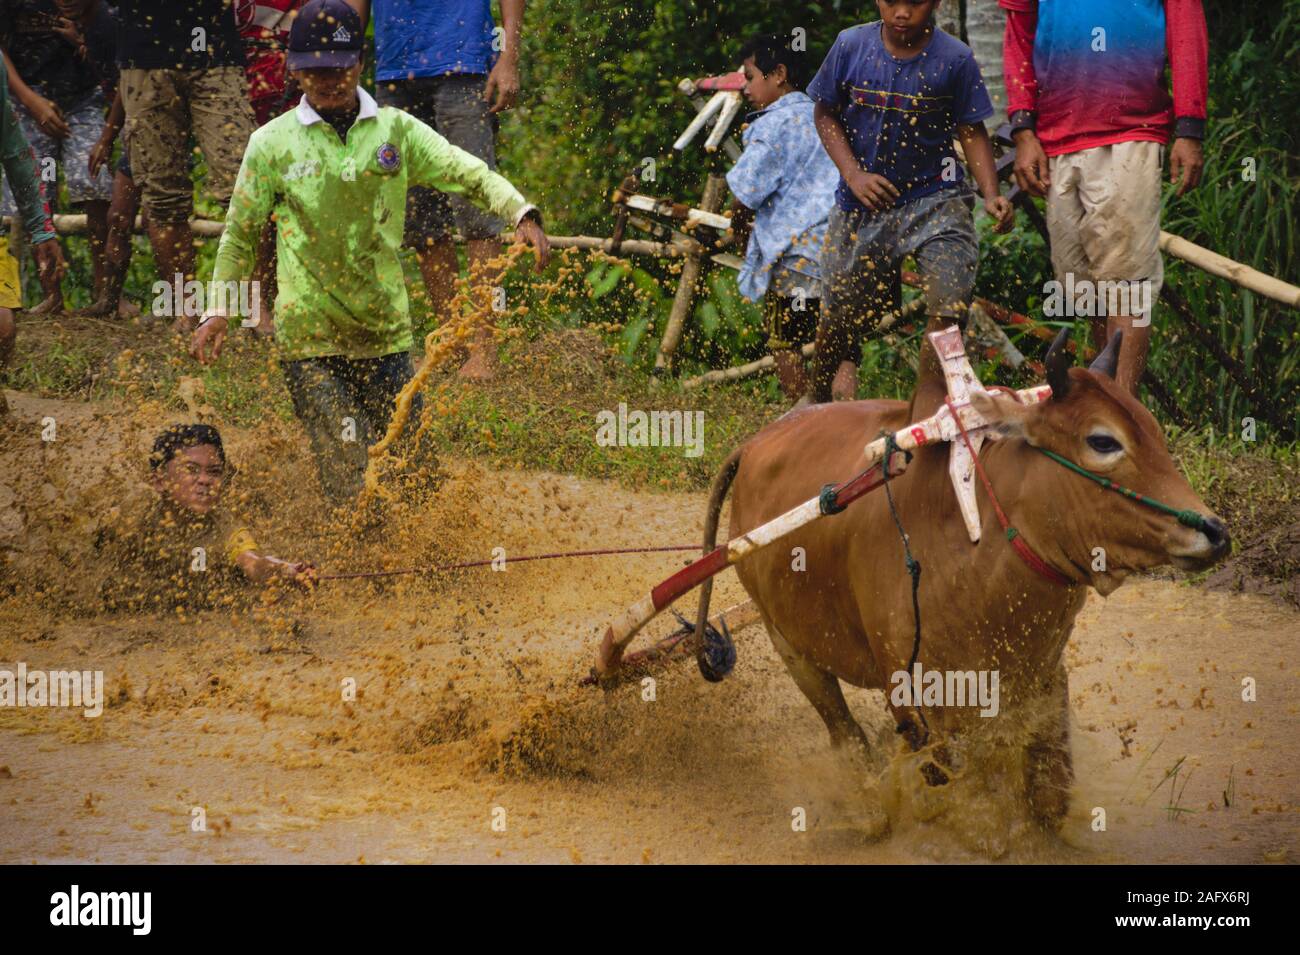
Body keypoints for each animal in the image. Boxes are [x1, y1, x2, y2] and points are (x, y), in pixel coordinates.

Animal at [691, 332, 1227, 826]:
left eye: (1154, 431)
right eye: (1103, 441)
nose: (1214, 531)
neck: (977, 550)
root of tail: (755, 444)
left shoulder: (1043, 683)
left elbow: (1048, 801)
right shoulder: (915, 703)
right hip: (789, 644)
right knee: (845, 733)